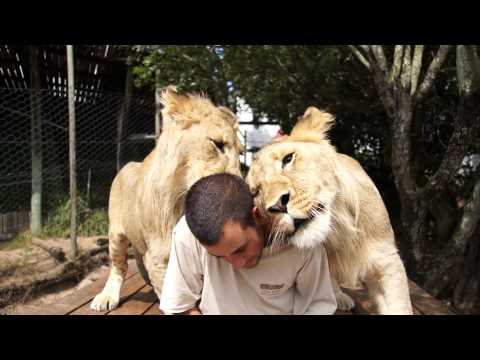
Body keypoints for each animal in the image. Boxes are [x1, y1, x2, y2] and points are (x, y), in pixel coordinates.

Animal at [91, 86, 244, 310]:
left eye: (241, 152)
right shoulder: (160, 257)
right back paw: (106, 297)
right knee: (118, 267)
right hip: (115, 233)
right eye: (217, 144)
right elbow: (173, 297)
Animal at [248, 107, 412, 316]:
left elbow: (400, 305)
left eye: (288, 159)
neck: (338, 231)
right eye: (256, 192)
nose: (277, 205)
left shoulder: (387, 260)